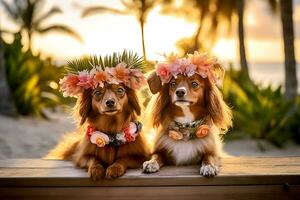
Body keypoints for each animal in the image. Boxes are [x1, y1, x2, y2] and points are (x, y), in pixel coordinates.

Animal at [47, 52, 149, 180]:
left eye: (120, 90)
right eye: (98, 92)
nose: (110, 102)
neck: (111, 131)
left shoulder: (140, 157)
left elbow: (123, 158)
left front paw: (114, 168)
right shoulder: (81, 157)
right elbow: (93, 159)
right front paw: (96, 169)